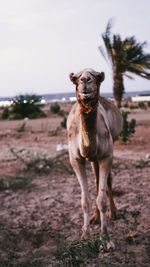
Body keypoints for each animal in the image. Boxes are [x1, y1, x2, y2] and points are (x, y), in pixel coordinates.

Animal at [67, 68, 123, 252]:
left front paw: (105, 239)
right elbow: (85, 199)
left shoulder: (106, 156)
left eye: (97, 77)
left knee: (106, 182)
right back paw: (94, 217)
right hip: (92, 159)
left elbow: (102, 199)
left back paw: (114, 213)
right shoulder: (76, 159)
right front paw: (84, 236)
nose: (85, 80)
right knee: (97, 181)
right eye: (76, 78)